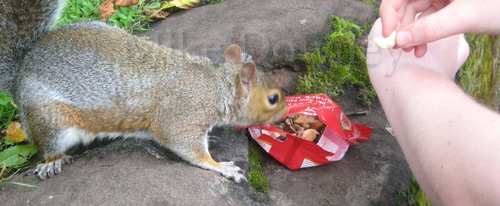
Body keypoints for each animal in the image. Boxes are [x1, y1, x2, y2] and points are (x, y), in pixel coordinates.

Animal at [6, 0, 290, 182]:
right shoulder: (180, 118)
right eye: (273, 99)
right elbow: (189, 149)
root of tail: (23, 67)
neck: (216, 86)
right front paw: (222, 166)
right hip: (49, 119)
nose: (286, 112)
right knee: (47, 145)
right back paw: (53, 161)